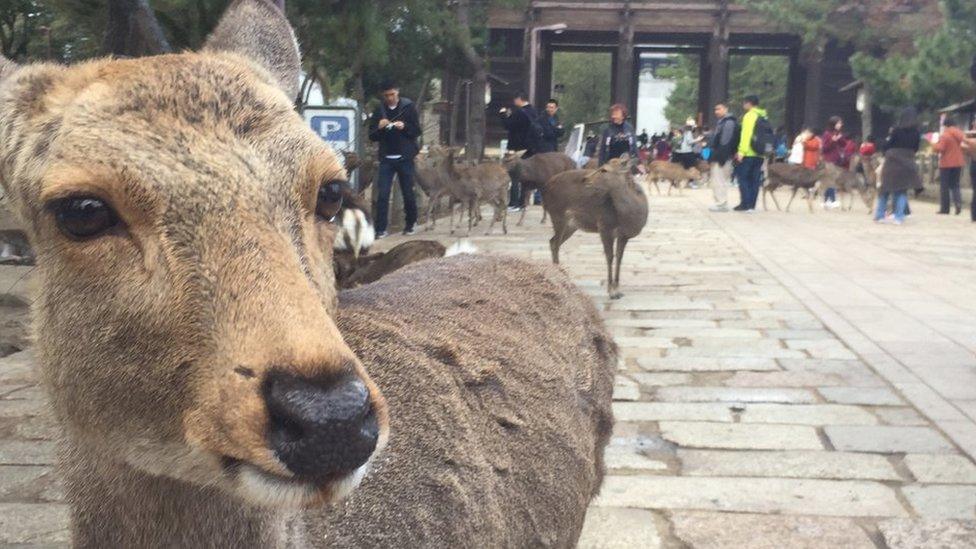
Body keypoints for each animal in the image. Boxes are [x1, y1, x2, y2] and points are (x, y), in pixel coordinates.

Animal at [540, 154, 648, 300]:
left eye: (604, 169)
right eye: (601, 165)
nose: (585, 179)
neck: (627, 217)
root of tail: (545, 187)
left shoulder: (623, 235)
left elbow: (619, 258)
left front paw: (618, 290)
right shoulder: (604, 227)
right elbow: (610, 257)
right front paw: (611, 292)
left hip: (572, 225)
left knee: (552, 241)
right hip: (558, 215)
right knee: (555, 244)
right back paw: (560, 278)